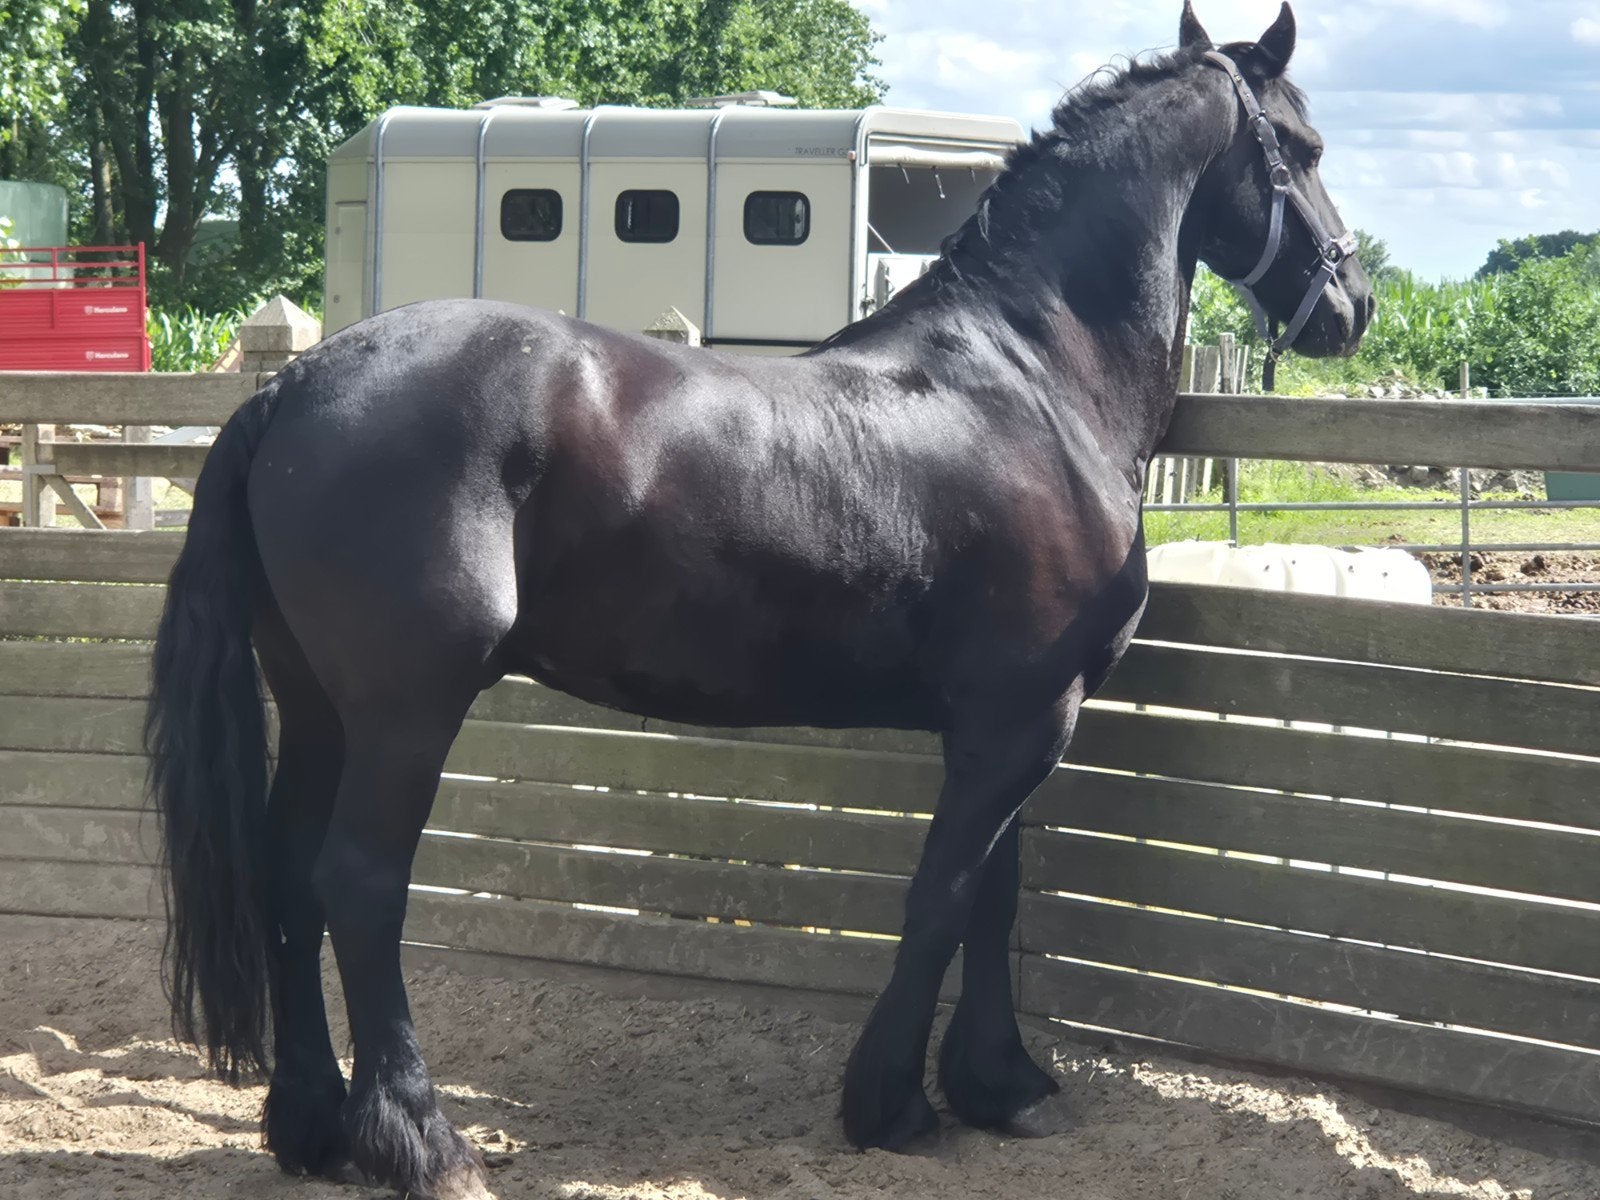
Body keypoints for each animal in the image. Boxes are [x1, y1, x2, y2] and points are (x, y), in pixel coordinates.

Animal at [147, 4, 1370, 1196]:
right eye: (1304, 148)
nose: (1351, 306)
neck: (1028, 382)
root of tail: (296, 384)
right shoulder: (1021, 721)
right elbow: (941, 898)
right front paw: (892, 1105)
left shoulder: (1007, 720)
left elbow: (992, 895)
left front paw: (1002, 1085)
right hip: (405, 712)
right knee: (358, 886)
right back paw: (422, 1143)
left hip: (316, 705)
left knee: (288, 879)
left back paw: (314, 1128)